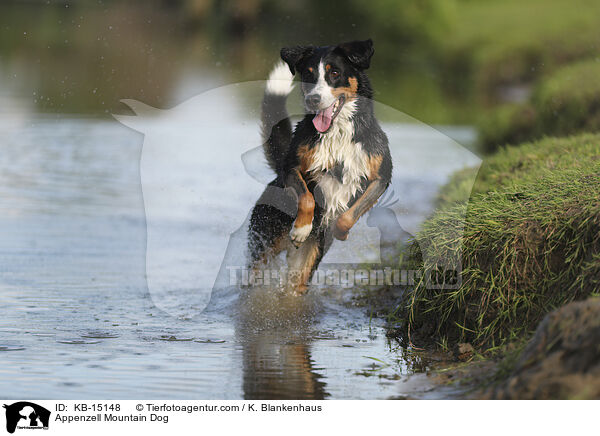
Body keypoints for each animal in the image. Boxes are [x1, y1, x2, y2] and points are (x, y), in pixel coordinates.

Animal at [246, 39, 392, 294]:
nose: (313, 99)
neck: (337, 133)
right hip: (263, 241)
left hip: (306, 263)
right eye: (308, 74)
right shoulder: (292, 167)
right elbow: (307, 198)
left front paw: (340, 231)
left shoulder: (381, 177)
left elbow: (349, 215)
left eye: (335, 73)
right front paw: (301, 228)